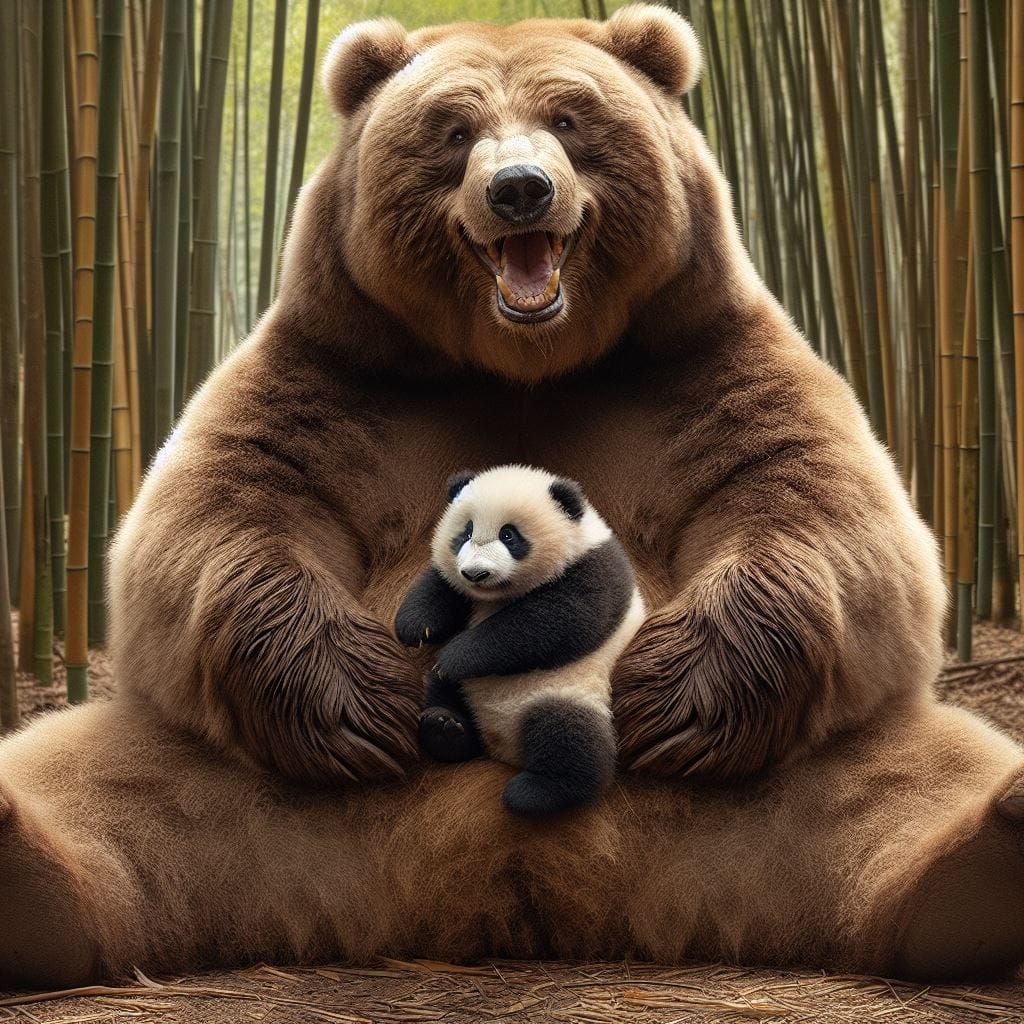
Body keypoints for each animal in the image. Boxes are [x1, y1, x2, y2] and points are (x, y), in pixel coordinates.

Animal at [2, 4, 1024, 988]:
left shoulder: (698, 363)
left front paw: (670, 692)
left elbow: (827, 513)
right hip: (221, 790)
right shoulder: (338, 374)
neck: (524, 360)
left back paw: (988, 840)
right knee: (105, 788)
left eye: (570, 118)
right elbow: (215, 517)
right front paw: (361, 697)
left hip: (788, 787)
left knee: (907, 781)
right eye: (453, 130)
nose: (520, 188)